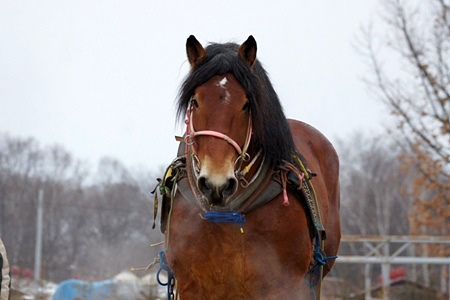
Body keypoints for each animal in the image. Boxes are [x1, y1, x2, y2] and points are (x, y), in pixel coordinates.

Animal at [156, 35, 340, 300]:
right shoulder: (193, 287)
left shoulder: (285, 285)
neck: (228, 213)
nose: (216, 184)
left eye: (245, 104)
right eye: (195, 101)